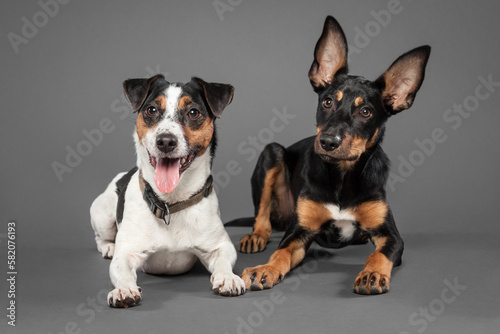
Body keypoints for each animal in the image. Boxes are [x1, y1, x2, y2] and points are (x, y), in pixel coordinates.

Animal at [91, 75, 246, 308]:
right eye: (152, 110)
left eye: (193, 112)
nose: (165, 141)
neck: (170, 203)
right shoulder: (126, 254)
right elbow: (123, 271)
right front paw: (124, 289)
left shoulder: (221, 246)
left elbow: (223, 262)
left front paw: (227, 277)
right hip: (101, 213)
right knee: (100, 238)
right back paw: (109, 247)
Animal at [234, 16, 430, 294]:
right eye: (327, 102)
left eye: (366, 112)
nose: (327, 142)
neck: (342, 174)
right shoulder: (299, 231)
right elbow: (281, 252)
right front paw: (266, 269)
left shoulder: (391, 235)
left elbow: (378, 254)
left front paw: (371, 274)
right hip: (271, 152)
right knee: (262, 214)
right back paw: (257, 236)